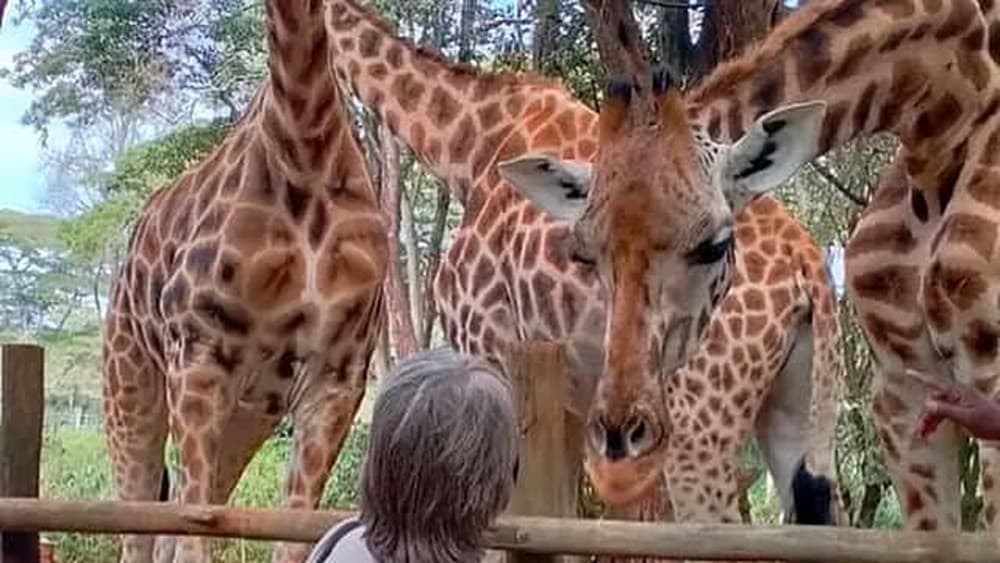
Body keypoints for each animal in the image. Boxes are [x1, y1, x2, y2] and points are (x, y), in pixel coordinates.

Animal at [101, 1, 388, 561]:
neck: (306, 144)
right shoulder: (198, 355)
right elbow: (194, 530)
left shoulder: (338, 375)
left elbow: (291, 534)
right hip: (130, 385)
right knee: (141, 525)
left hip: (248, 413)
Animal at [323, 0, 843, 525]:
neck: (468, 143)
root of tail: (808, 262)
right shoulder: (568, 401)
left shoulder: (485, 342)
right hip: (791, 408)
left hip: (701, 420)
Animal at [501, 0, 1000, 533]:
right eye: (584, 254)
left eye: (714, 245)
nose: (620, 436)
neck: (940, 118)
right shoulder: (902, 391)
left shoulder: (984, 373)